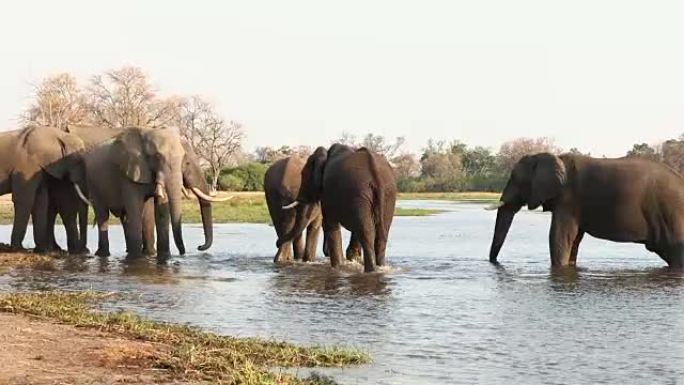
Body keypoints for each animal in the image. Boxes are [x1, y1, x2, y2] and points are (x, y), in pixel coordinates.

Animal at [278, 144, 396, 272]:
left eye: (304, 175)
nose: (277, 243)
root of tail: (376, 174)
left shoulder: (327, 192)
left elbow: (329, 224)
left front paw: (338, 267)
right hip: (387, 194)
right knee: (381, 235)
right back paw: (379, 268)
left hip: (359, 193)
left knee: (367, 234)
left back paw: (371, 270)